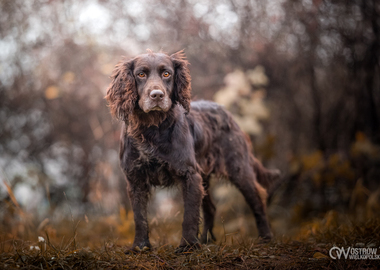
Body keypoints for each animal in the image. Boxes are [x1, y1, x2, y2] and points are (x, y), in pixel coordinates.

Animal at [105, 50, 280, 253]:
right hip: (205, 178)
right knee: (211, 208)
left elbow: (189, 215)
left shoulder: (189, 175)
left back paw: (265, 237)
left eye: (167, 74)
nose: (157, 95)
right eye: (141, 74)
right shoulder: (135, 179)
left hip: (239, 170)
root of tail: (227, 113)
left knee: (257, 199)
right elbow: (140, 217)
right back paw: (205, 240)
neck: (152, 128)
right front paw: (140, 247)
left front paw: (187, 245)